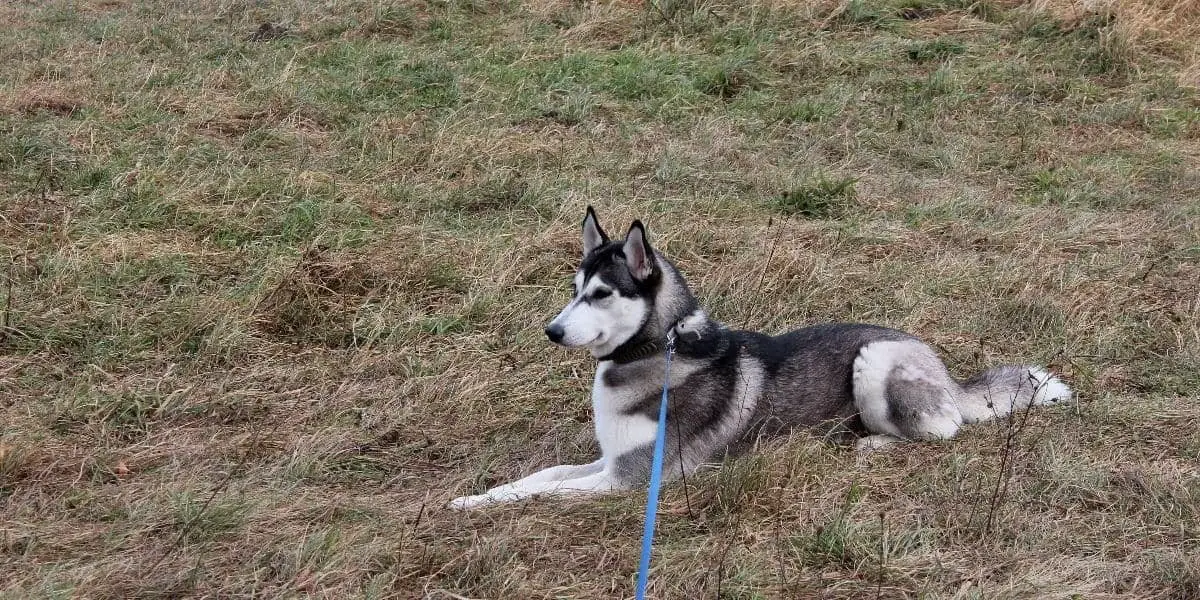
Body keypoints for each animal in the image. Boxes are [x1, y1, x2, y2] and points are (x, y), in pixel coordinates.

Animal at [448, 207, 1070, 511]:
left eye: (601, 294)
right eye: (574, 288)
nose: (551, 331)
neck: (658, 350)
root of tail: (942, 366)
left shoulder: (631, 479)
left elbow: (547, 490)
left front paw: (481, 505)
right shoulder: (610, 462)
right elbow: (541, 475)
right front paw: (477, 496)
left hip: (876, 359)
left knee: (943, 430)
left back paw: (870, 444)